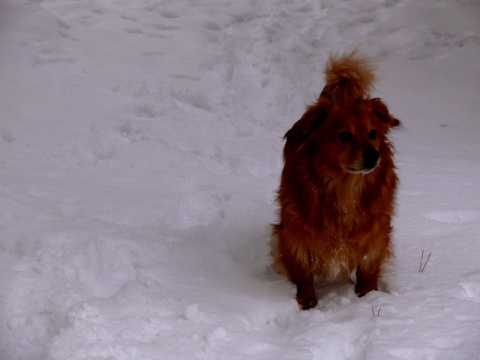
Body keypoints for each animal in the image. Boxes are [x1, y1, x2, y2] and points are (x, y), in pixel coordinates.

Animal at [272, 50, 400, 310]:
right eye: (345, 136)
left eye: (373, 133)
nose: (374, 154)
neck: (345, 187)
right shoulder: (294, 232)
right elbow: (302, 271)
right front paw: (307, 302)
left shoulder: (375, 233)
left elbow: (368, 269)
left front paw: (367, 298)